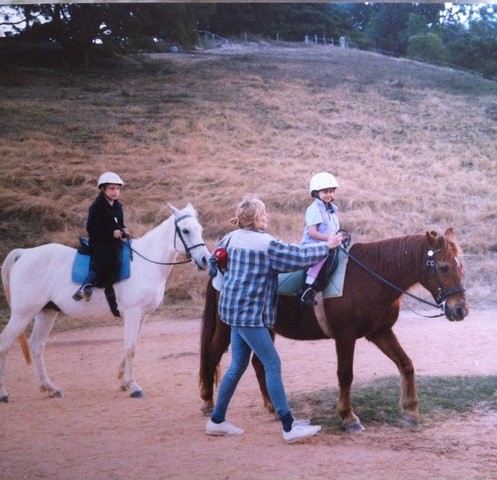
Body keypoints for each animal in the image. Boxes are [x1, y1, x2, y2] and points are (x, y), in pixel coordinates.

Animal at [0, 202, 209, 402]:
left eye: (199, 228)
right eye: (185, 230)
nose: (206, 259)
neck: (145, 264)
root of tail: (24, 254)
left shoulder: (141, 316)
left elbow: (132, 345)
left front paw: (123, 381)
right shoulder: (133, 313)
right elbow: (130, 348)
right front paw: (134, 387)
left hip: (46, 312)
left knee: (36, 346)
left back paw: (50, 388)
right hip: (23, 314)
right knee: (5, 343)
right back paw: (4, 394)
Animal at [199, 228, 468, 432]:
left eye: (461, 265)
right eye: (443, 267)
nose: (460, 310)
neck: (371, 277)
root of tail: (223, 261)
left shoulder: (380, 332)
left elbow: (406, 364)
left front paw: (411, 411)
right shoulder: (345, 336)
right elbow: (345, 374)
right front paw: (348, 417)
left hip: (264, 327)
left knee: (258, 363)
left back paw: (272, 407)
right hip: (228, 327)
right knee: (212, 354)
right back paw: (208, 402)